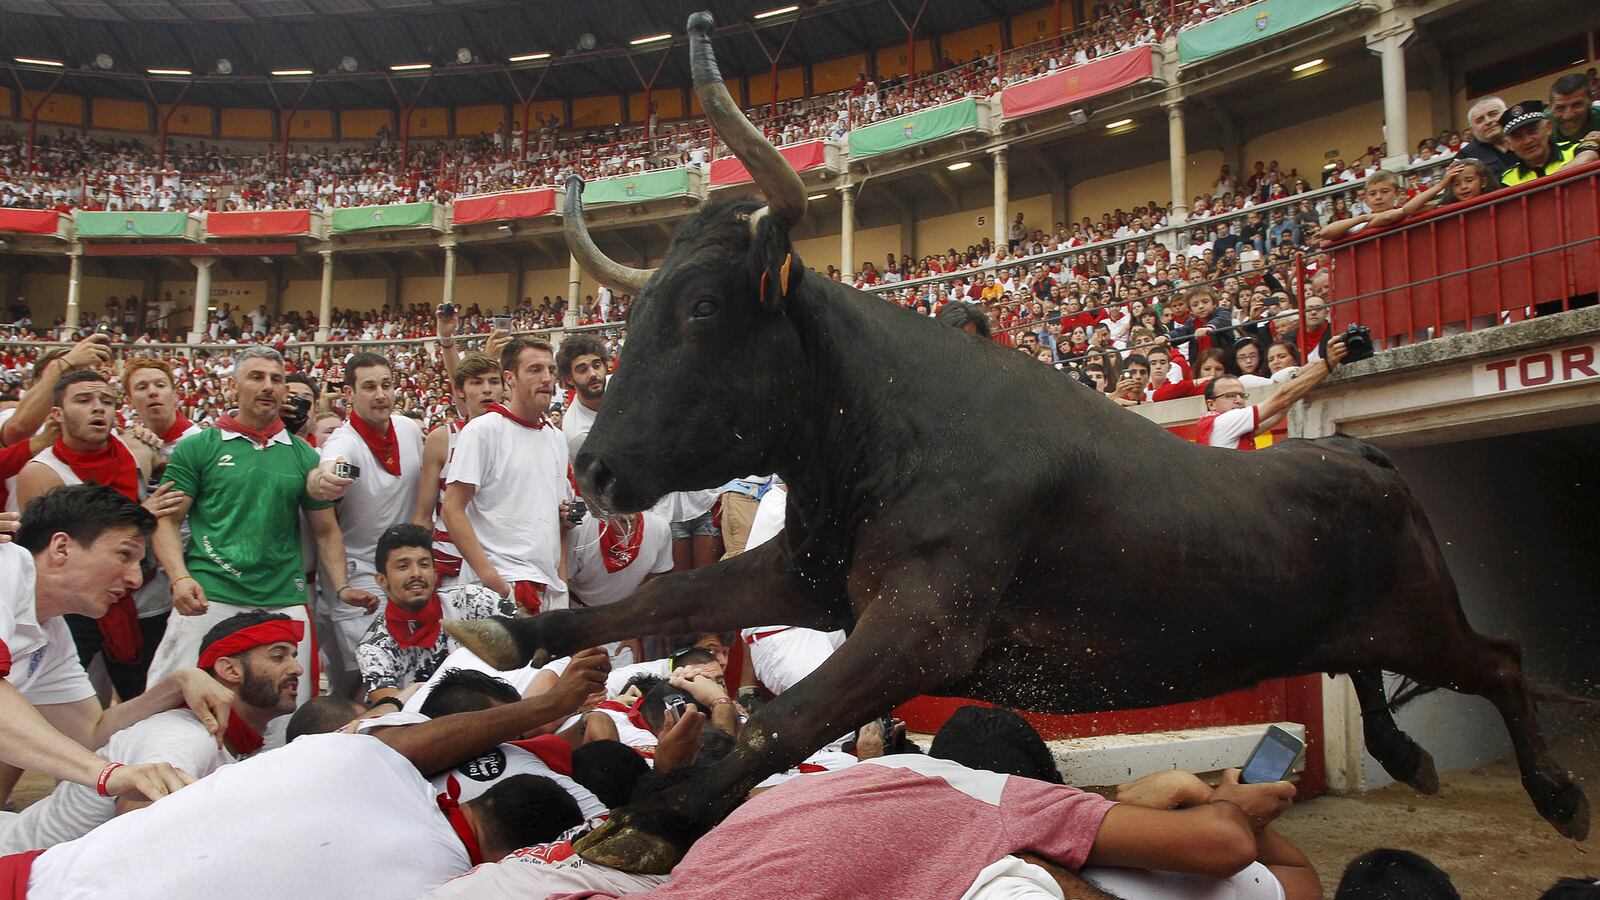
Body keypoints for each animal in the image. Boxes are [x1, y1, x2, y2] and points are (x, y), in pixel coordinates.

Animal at [446, 12, 1590, 873]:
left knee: (1499, 659)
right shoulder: (810, 573)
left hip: (1421, 616)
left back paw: (1558, 795)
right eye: (638, 316)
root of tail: (1354, 455)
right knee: (1373, 668)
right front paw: (521, 634)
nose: (594, 471)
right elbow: (671, 597)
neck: (874, 436)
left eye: (702, 308)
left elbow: (784, 716)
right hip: (1343, 623)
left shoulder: (923, 624)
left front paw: (650, 819)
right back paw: (1408, 757)